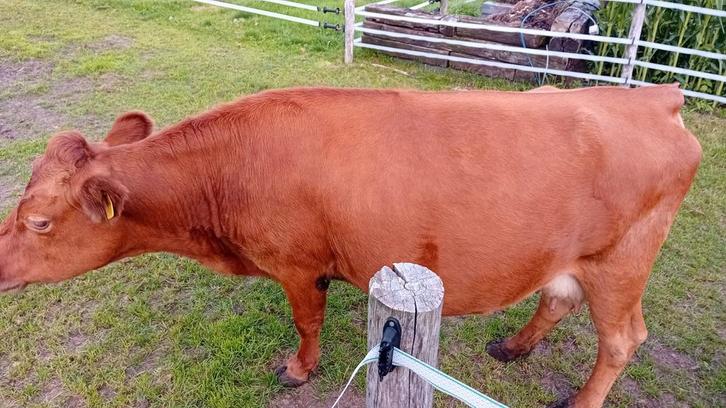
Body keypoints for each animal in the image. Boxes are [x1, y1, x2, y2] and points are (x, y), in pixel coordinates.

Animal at [0, 84, 701, 407]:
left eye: (39, 222)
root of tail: (652, 97)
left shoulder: (296, 265)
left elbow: (306, 322)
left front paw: (297, 369)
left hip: (621, 263)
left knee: (621, 340)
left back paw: (583, 398)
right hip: (573, 260)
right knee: (556, 298)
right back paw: (512, 346)